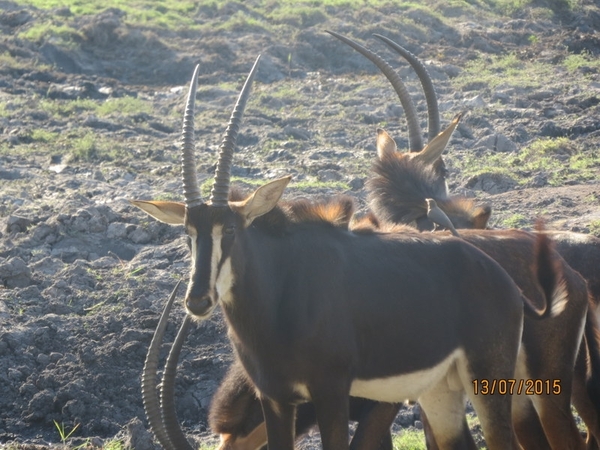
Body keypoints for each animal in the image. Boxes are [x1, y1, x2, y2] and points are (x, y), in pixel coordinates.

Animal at [132, 54, 568, 448]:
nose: (197, 301)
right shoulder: (276, 399)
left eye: (232, 230)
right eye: (187, 233)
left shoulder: (332, 392)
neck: (277, 297)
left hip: (488, 380)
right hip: (440, 390)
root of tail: (503, 278)